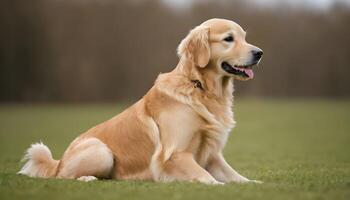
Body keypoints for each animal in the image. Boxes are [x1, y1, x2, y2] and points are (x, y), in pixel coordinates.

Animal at [18, 18, 262, 184]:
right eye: (228, 39)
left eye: (244, 37)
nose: (259, 52)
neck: (198, 86)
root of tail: (58, 162)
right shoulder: (173, 155)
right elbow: (207, 177)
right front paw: (218, 185)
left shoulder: (212, 155)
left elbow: (235, 176)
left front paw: (253, 183)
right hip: (101, 151)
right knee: (63, 177)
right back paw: (87, 178)